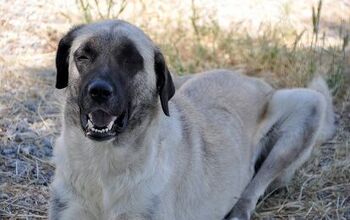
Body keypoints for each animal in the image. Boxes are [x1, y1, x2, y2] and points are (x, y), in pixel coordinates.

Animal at [50, 19, 336, 219]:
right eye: (83, 56)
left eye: (132, 60)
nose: (99, 91)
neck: (103, 163)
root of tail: (253, 80)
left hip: (308, 106)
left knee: (255, 186)